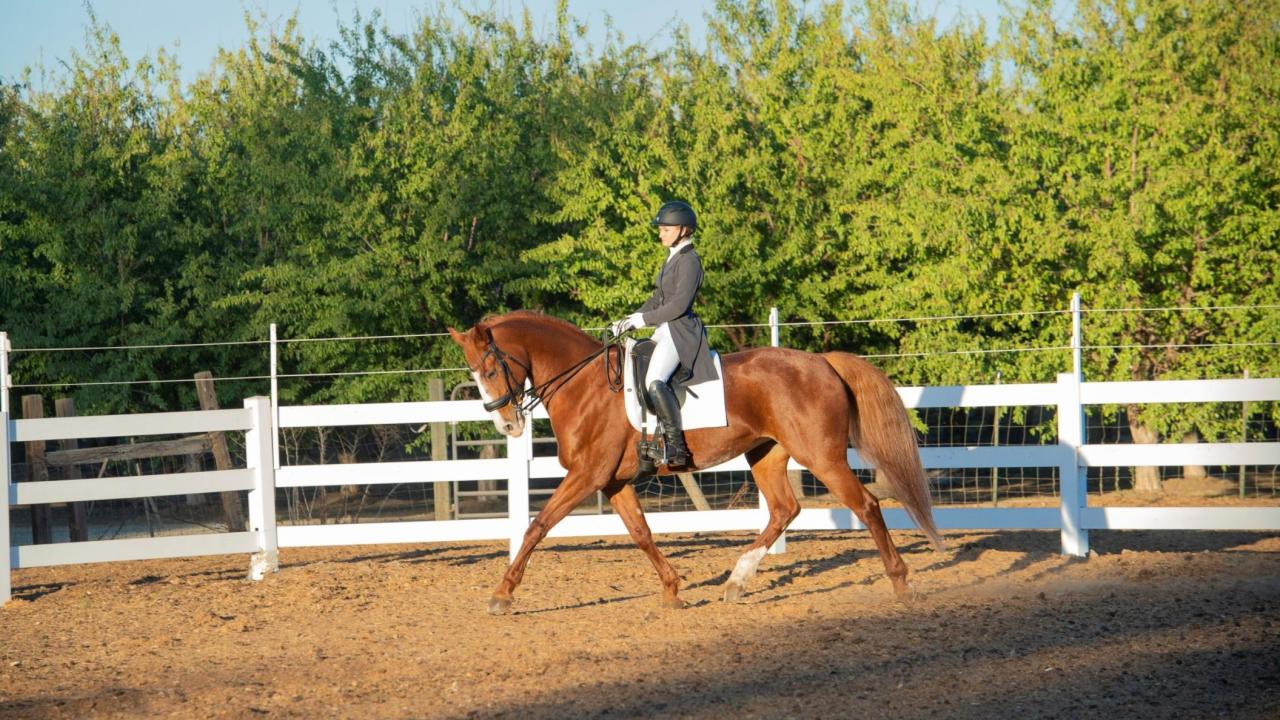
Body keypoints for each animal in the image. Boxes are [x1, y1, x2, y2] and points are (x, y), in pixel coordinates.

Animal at [448, 308, 942, 609]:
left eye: (489, 369)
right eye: (474, 373)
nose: (508, 427)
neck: (585, 384)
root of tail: (820, 361)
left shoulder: (587, 476)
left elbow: (537, 526)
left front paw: (502, 594)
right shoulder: (613, 481)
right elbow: (642, 534)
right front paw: (672, 590)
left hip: (821, 457)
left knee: (867, 506)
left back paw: (901, 582)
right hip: (766, 454)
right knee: (785, 509)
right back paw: (736, 582)